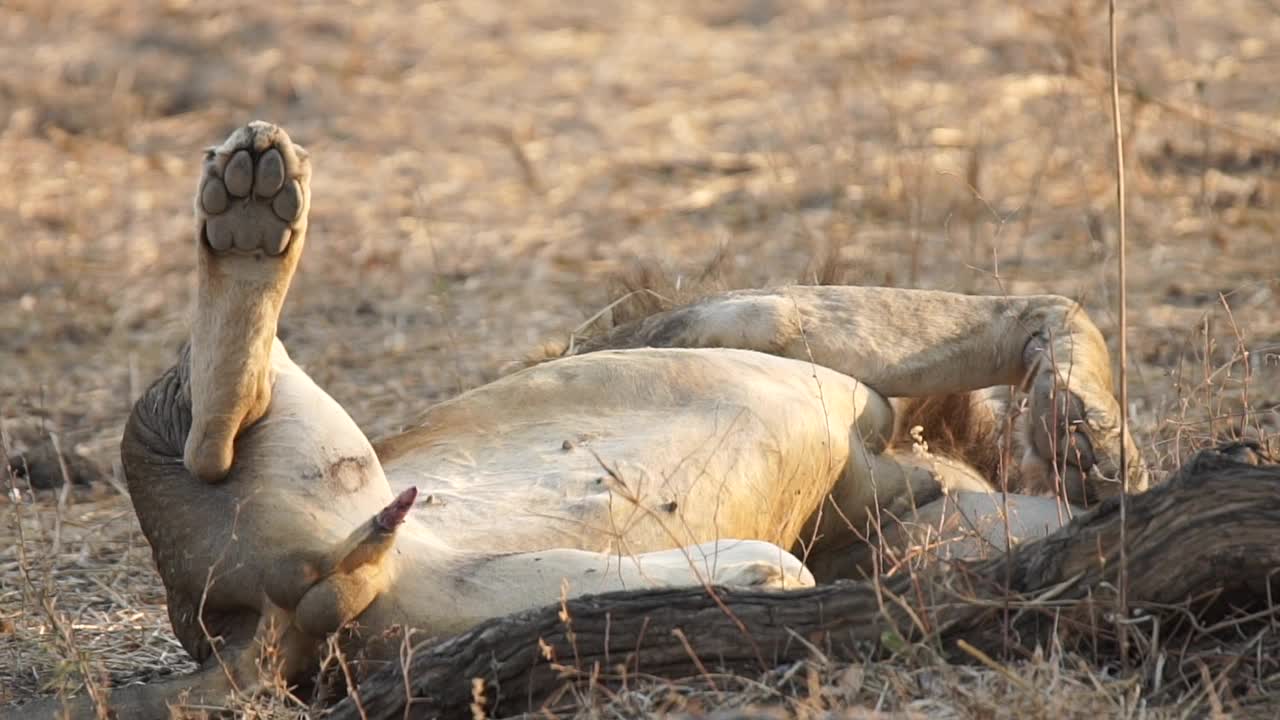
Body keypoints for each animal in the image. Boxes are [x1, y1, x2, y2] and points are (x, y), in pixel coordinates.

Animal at [10, 120, 1152, 712]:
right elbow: (1041, 306)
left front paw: (1089, 454)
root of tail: (230, 618)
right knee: (214, 413)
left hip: (465, 600)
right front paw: (1097, 440)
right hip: (231, 441)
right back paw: (251, 198)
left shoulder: (926, 523)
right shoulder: (766, 319)